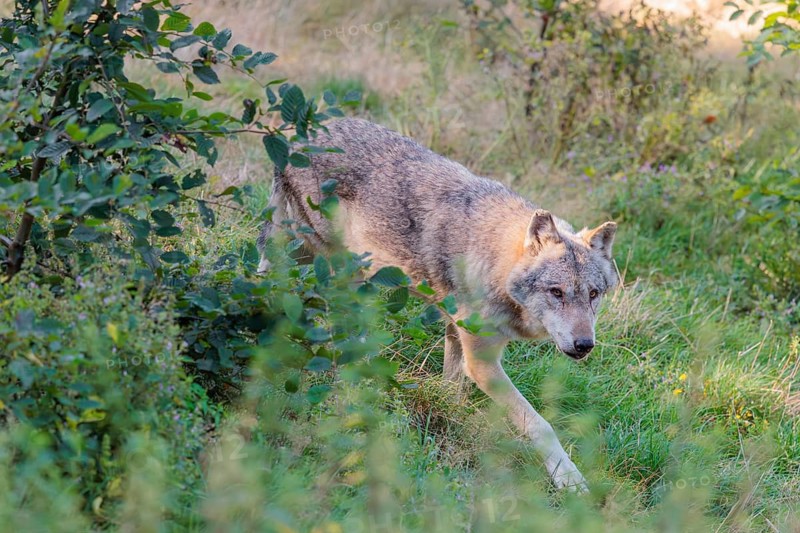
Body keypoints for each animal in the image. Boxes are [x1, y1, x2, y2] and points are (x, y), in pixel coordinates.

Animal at [257, 118, 618, 491]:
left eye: (593, 294)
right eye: (556, 292)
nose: (584, 344)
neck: (493, 260)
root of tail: (298, 130)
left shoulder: (456, 334)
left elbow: (452, 391)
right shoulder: (482, 363)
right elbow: (539, 424)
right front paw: (570, 480)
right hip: (334, 265)